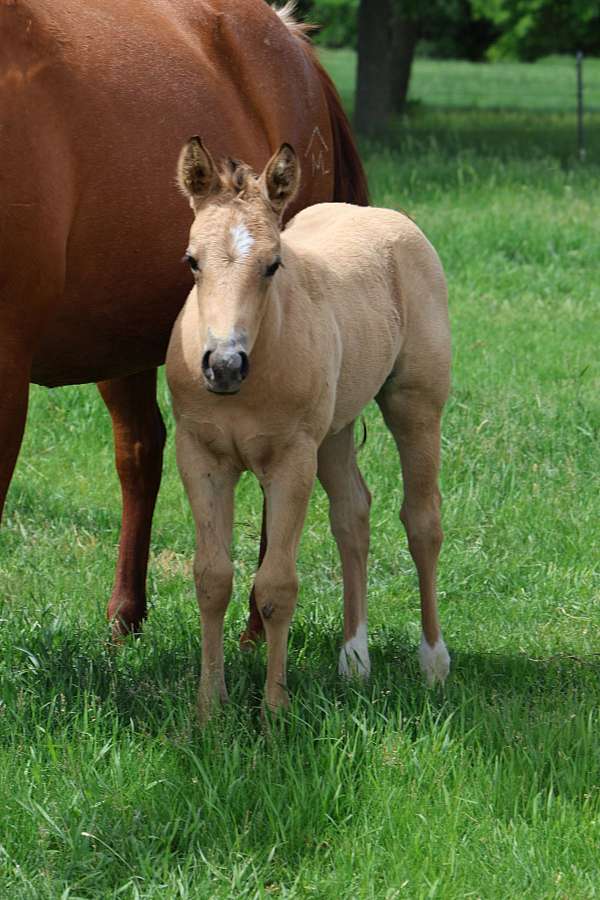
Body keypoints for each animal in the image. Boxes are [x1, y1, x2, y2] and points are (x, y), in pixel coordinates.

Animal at [166, 139, 451, 718]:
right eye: (192, 261)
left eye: (273, 264)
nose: (223, 365)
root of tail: (381, 216)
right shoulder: (201, 455)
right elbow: (212, 578)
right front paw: (209, 711)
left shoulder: (290, 460)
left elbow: (276, 586)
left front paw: (274, 713)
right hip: (335, 431)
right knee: (353, 514)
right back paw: (355, 659)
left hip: (415, 404)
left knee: (422, 521)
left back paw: (433, 662)